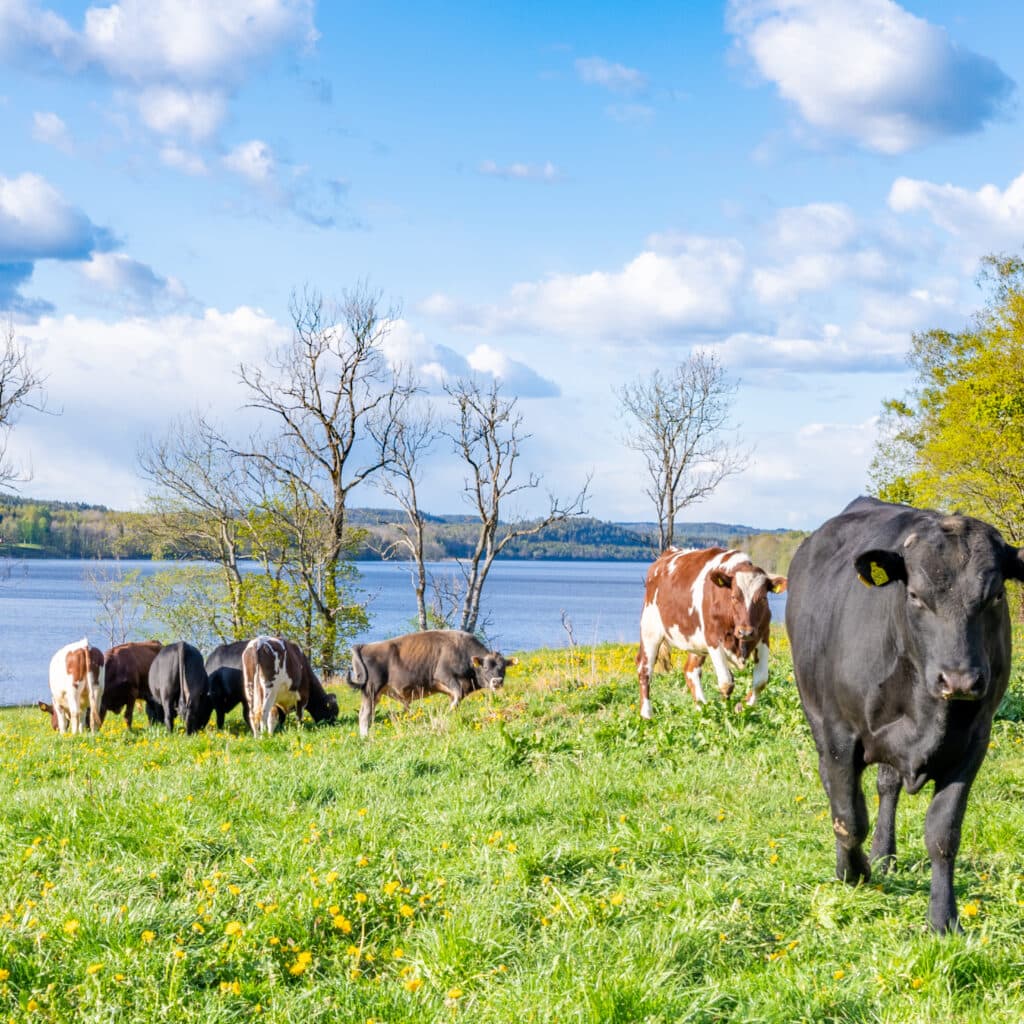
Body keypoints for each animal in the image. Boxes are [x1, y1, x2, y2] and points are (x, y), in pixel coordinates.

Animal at [346, 626, 520, 741]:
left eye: (503, 668)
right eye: (485, 667)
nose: (497, 681)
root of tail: (364, 646)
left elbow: (456, 698)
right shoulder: (445, 676)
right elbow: (457, 695)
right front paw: (447, 712)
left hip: (373, 694)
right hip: (371, 690)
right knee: (364, 715)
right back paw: (365, 737)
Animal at [634, 548, 786, 716]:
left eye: (763, 598)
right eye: (734, 597)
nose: (745, 632)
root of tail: (667, 553)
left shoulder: (763, 636)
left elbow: (761, 681)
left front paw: (743, 707)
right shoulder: (713, 639)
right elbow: (726, 682)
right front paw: (726, 711)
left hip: (696, 642)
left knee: (690, 671)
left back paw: (702, 708)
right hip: (650, 629)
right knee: (644, 669)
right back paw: (647, 714)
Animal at [782, 495, 1024, 937]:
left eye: (996, 595)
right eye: (914, 595)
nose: (959, 678)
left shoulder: (973, 743)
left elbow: (943, 832)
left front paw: (943, 918)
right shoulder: (840, 734)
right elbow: (849, 816)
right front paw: (852, 873)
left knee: (887, 784)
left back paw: (884, 852)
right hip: (816, 713)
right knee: (836, 787)